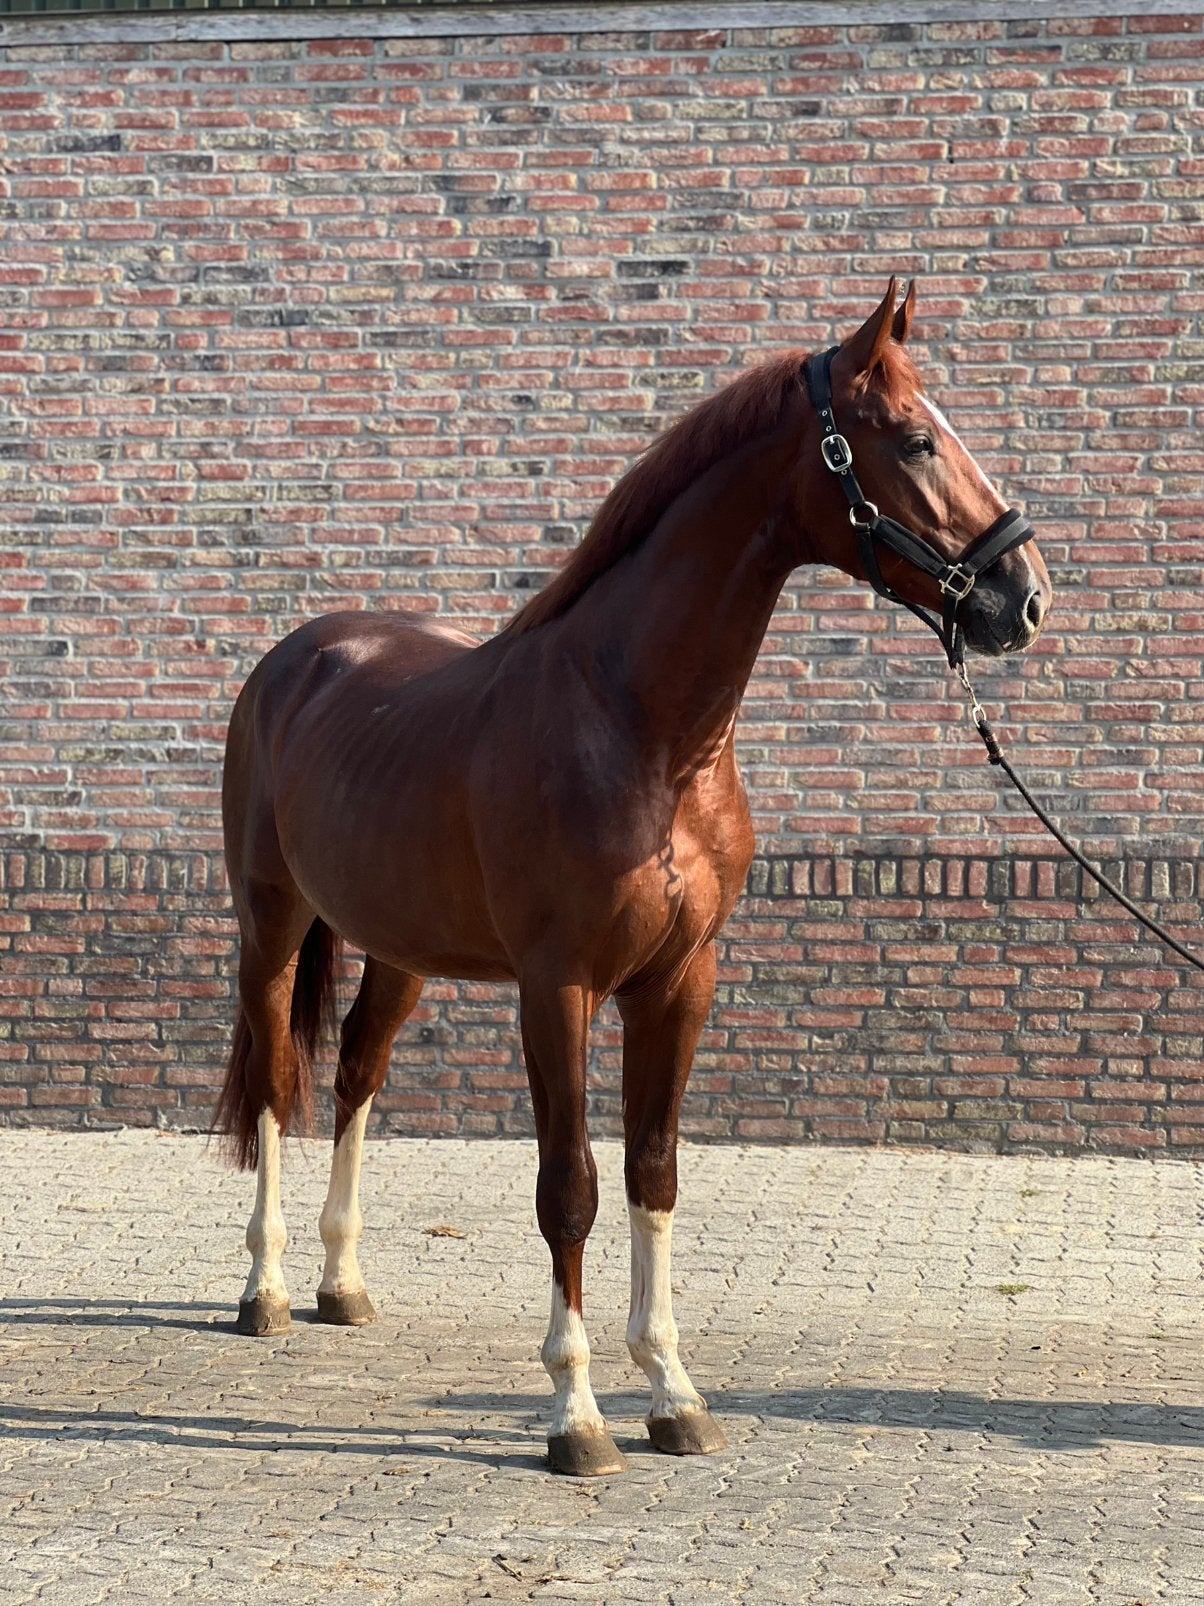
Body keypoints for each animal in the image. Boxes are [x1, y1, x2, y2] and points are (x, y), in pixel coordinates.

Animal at [215, 279, 1051, 1477]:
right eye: (915, 438)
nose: (1021, 598)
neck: (643, 732)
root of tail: (296, 658)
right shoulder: (555, 986)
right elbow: (570, 1188)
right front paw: (576, 1413)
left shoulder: (681, 980)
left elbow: (654, 1171)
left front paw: (672, 1391)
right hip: (273, 924)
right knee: (278, 1081)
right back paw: (269, 1289)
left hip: (400, 951)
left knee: (354, 1078)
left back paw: (343, 1282)